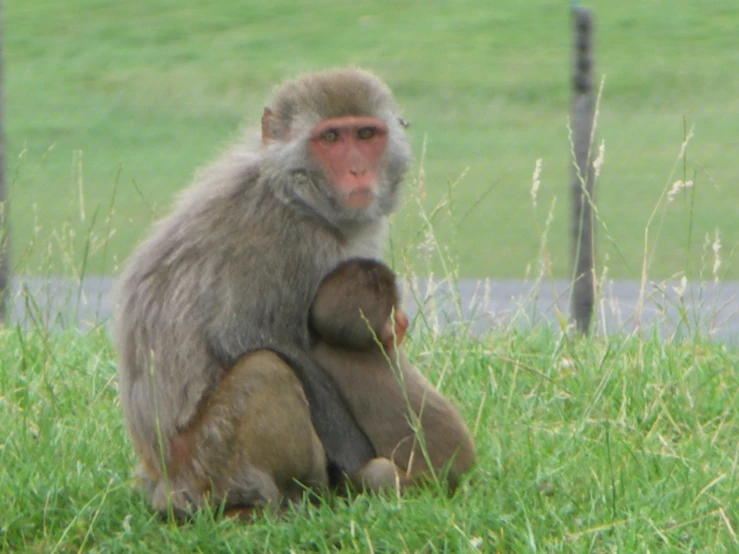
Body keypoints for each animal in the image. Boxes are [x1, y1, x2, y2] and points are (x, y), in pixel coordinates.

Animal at [118, 68, 414, 512]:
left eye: (365, 135)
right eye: (330, 138)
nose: (358, 171)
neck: (295, 193)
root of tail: (162, 483)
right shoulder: (283, 240)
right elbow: (248, 335)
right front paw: (365, 466)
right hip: (207, 460)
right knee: (265, 369)